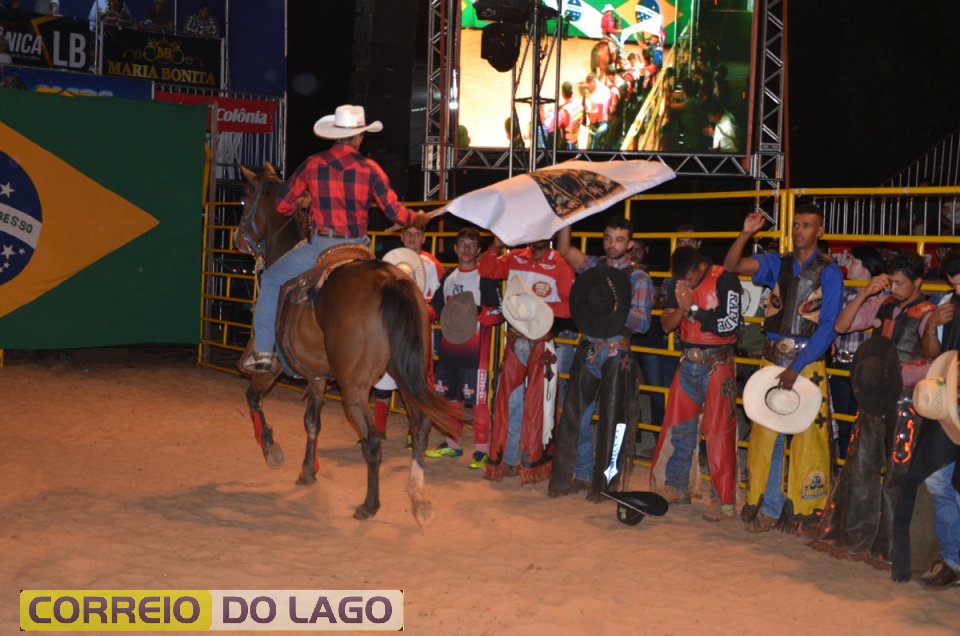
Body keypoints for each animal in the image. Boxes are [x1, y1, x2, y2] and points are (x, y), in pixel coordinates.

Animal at [234, 163, 454, 526]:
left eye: (245, 198)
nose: (237, 239)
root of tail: (392, 281)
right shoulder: (317, 377)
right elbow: (312, 421)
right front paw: (308, 471)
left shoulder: (275, 366)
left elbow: (253, 396)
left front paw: (272, 451)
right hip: (410, 374)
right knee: (420, 427)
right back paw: (418, 499)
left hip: (354, 387)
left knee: (373, 440)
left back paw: (369, 505)